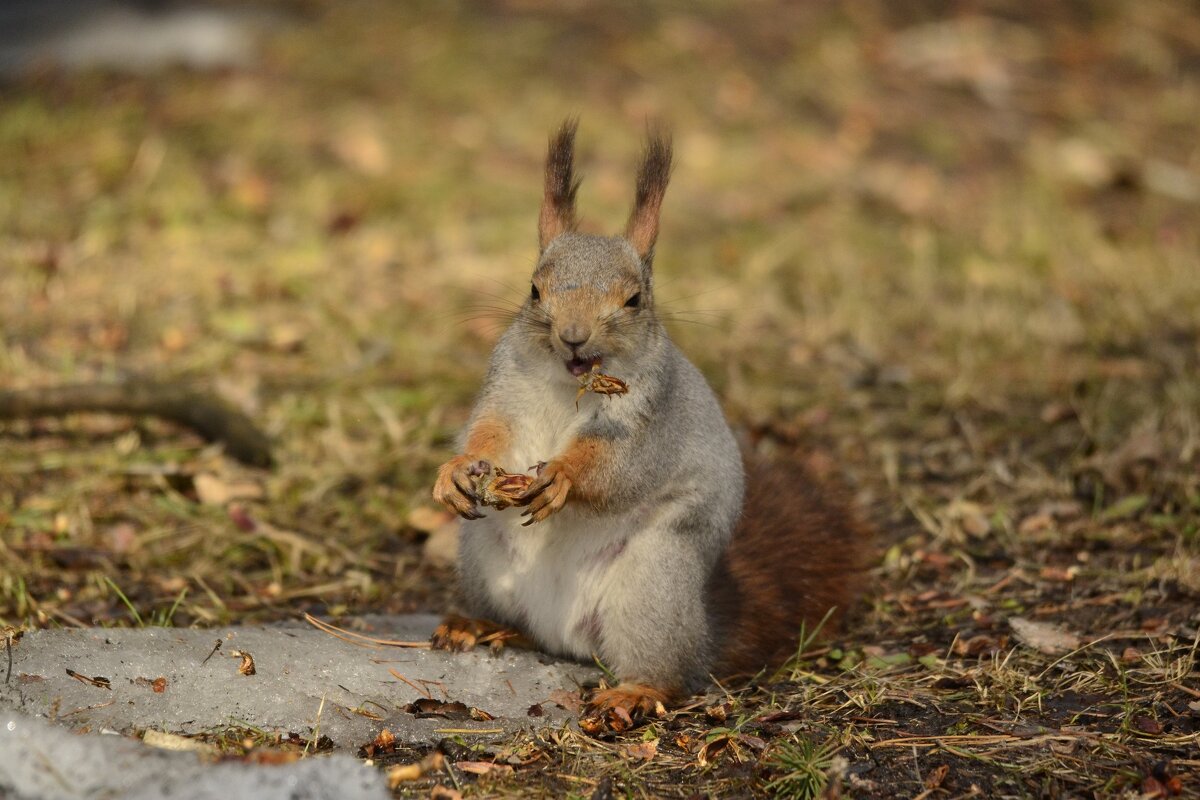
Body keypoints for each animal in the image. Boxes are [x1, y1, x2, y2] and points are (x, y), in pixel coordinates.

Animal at [432, 120, 873, 734]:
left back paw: (634, 692)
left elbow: (617, 466)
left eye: (635, 299)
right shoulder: (505, 389)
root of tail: (562, 633)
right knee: (520, 626)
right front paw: (456, 471)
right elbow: (489, 431)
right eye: (534, 289)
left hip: (654, 582)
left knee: (670, 675)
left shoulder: (648, 416)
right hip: (482, 555)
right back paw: (476, 625)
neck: (566, 384)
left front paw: (563, 477)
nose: (573, 337)